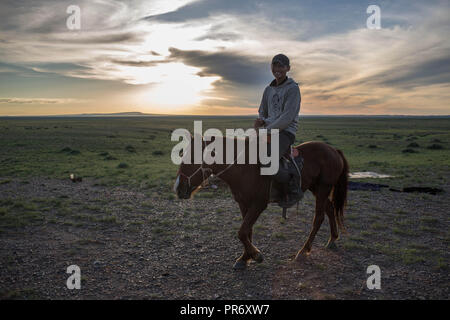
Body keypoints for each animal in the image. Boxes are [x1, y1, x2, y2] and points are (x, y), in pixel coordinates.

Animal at [174, 134, 350, 268]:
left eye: (192, 158)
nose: (178, 188)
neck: (242, 168)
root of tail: (334, 150)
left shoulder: (258, 205)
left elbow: (242, 232)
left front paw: (256, 255)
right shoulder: (243, 204)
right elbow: (247, 231)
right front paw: (245, 258)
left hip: (323, 188)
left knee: (319, 217)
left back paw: (303, 250)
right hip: (316, 188)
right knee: (330, 208)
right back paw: (332, 239)